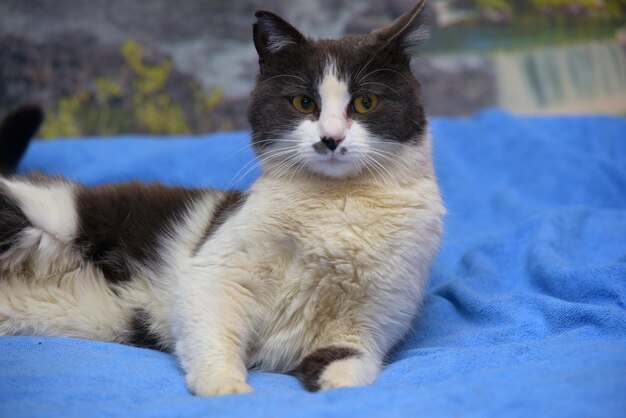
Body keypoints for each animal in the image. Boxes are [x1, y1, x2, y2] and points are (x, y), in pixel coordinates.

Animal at [0, 0, 444, 396]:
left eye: (365, 102)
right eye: (304, 102)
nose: (330, 138)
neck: (337, 205)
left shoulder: (370, 322)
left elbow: (351, 365)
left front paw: (338, 388)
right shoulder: (216, 268)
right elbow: (214, 327)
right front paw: (225, 387)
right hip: (46, 214)